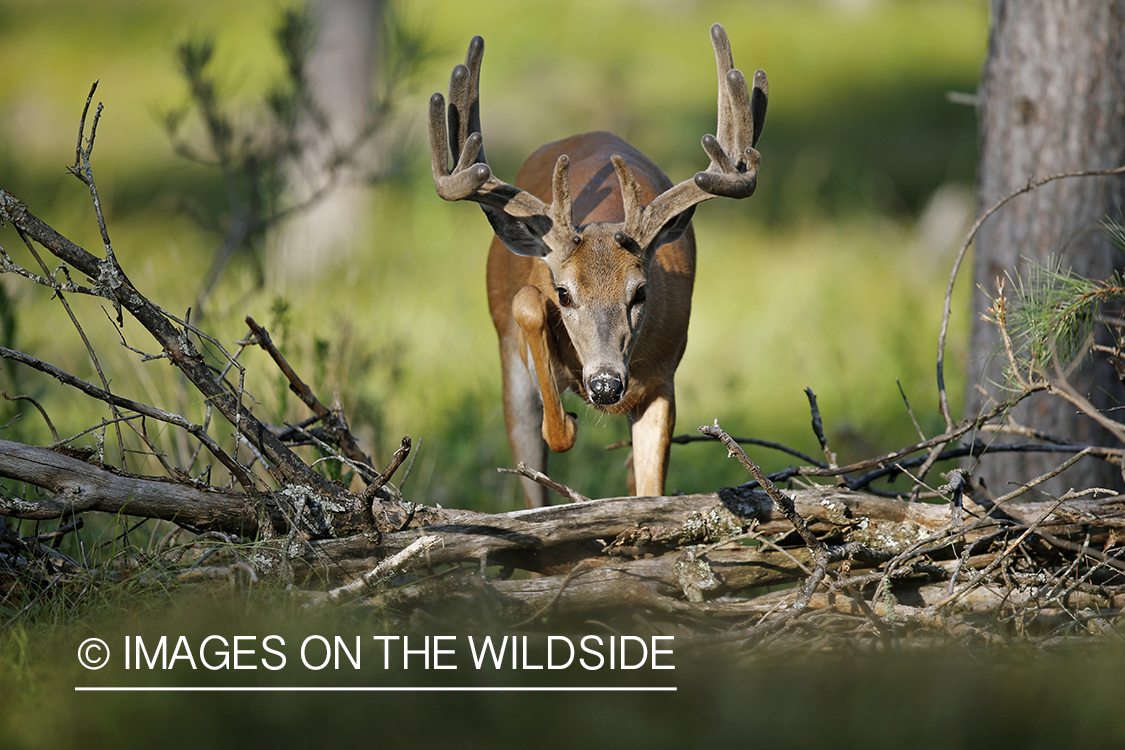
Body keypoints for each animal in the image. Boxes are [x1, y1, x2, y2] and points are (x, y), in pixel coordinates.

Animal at [427, 20, 765, 508]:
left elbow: (650, 491)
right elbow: (529, 308)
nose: (606, 384)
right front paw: (567, 422)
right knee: (532, 487)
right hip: (506, 361)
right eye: (564, 293)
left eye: (641, 291)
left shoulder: (661, 379)